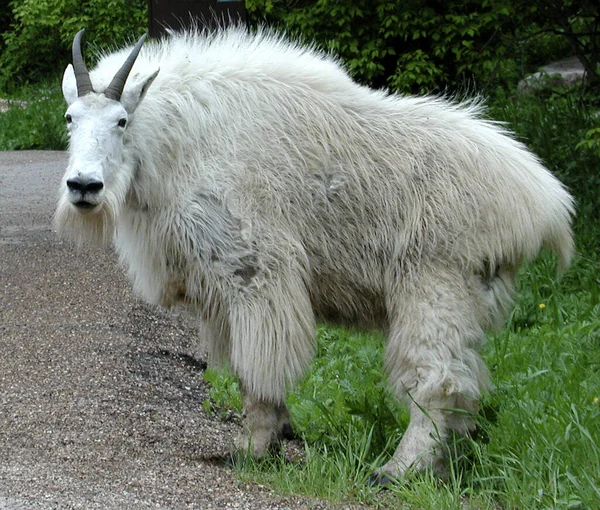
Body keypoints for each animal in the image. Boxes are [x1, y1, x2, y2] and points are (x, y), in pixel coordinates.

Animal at [57, 26, 576, 482]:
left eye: (121, 121)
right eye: (70, 118)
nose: (84, 186)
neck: (175, 142)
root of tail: (544, 203)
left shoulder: (256, 274)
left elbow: (257, 371)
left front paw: (253, 449)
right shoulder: (218, 292)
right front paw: (281, 432)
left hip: (436, 287)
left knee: (439, 381)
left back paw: (397, 470)